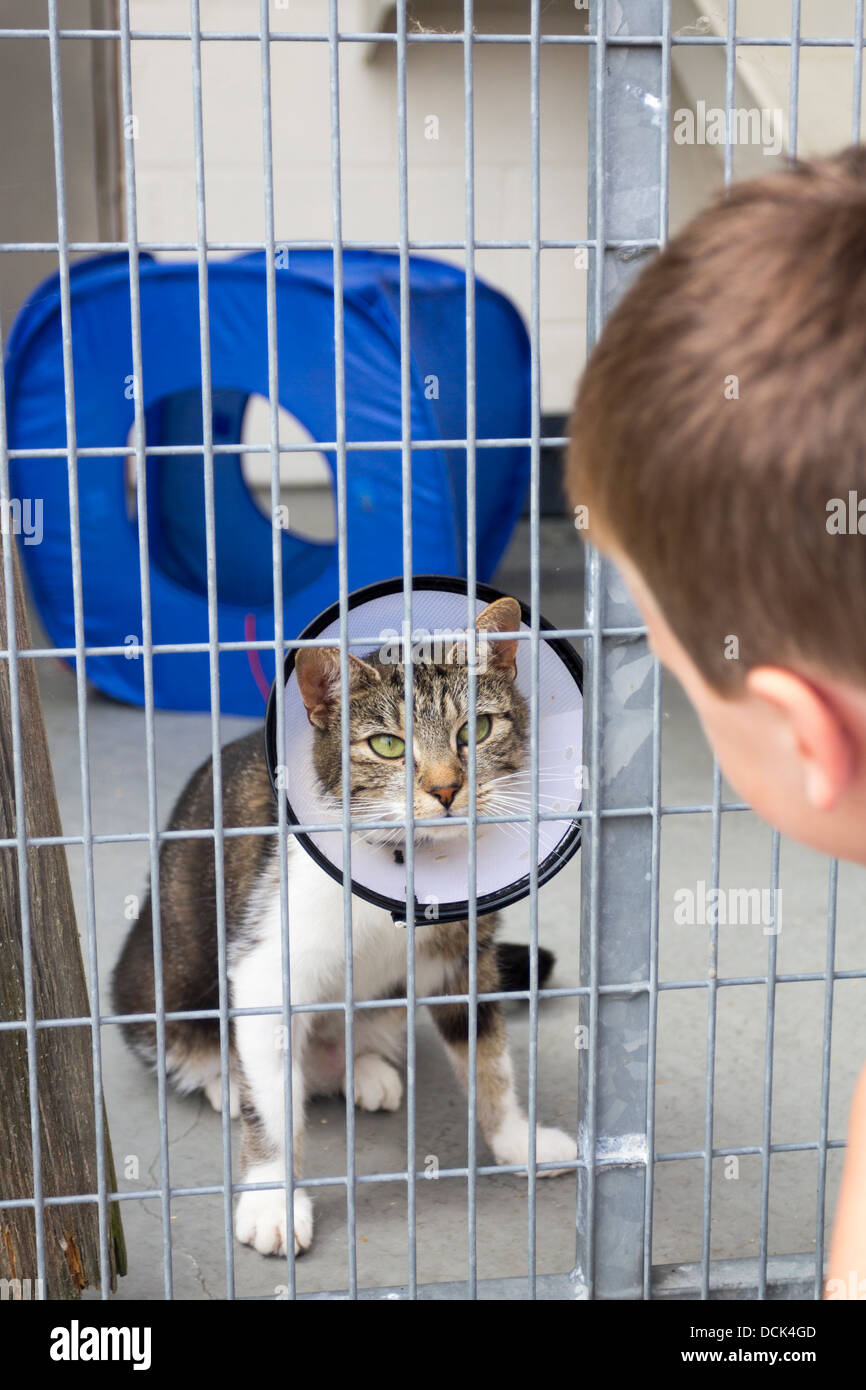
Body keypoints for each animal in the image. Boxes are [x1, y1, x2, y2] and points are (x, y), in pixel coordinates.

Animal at [113, 597, 575, 1262]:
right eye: (386, 745)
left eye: (477, 731)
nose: (445, 788)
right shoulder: (264, 964)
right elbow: (274, 1105)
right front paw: (272, 1200)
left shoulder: (466, 957)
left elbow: (489, 1056)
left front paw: (518, 1139)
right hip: (155, 982)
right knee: (195, 1046)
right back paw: (225, 1077)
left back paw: (361, 1067)